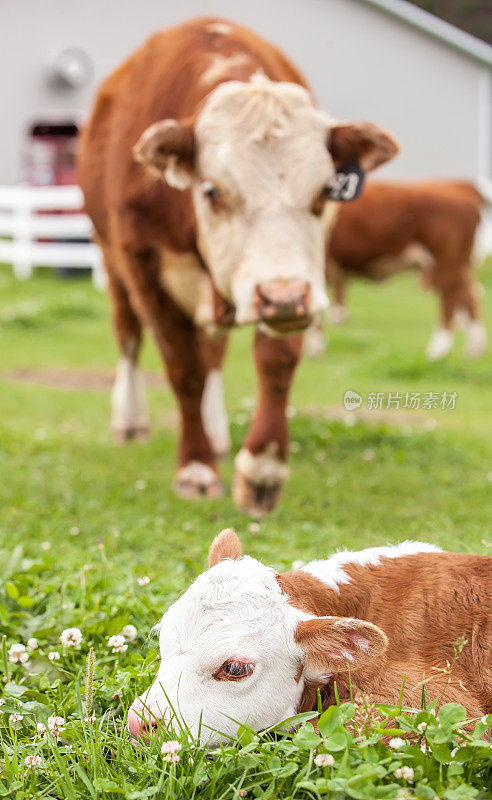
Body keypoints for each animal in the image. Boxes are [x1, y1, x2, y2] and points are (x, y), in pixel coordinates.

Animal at [78, 20, 400, 520]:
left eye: (325, 191)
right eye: (211, 191)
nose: (284, 297)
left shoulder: (292, 285)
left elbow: (273, 362)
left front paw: (262, 470)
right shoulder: (143, 265)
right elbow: (183, 366)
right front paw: (195, 469)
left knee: (213, 351)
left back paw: (217, 433)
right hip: (112, 262)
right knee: (129, 337)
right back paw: (131, 422)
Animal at [304, 181, 488, 360]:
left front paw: (315, 347)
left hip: (446, 261)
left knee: (450, 298)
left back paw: (439, 349)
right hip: (456, 265)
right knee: (469, 295)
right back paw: (474, 349)